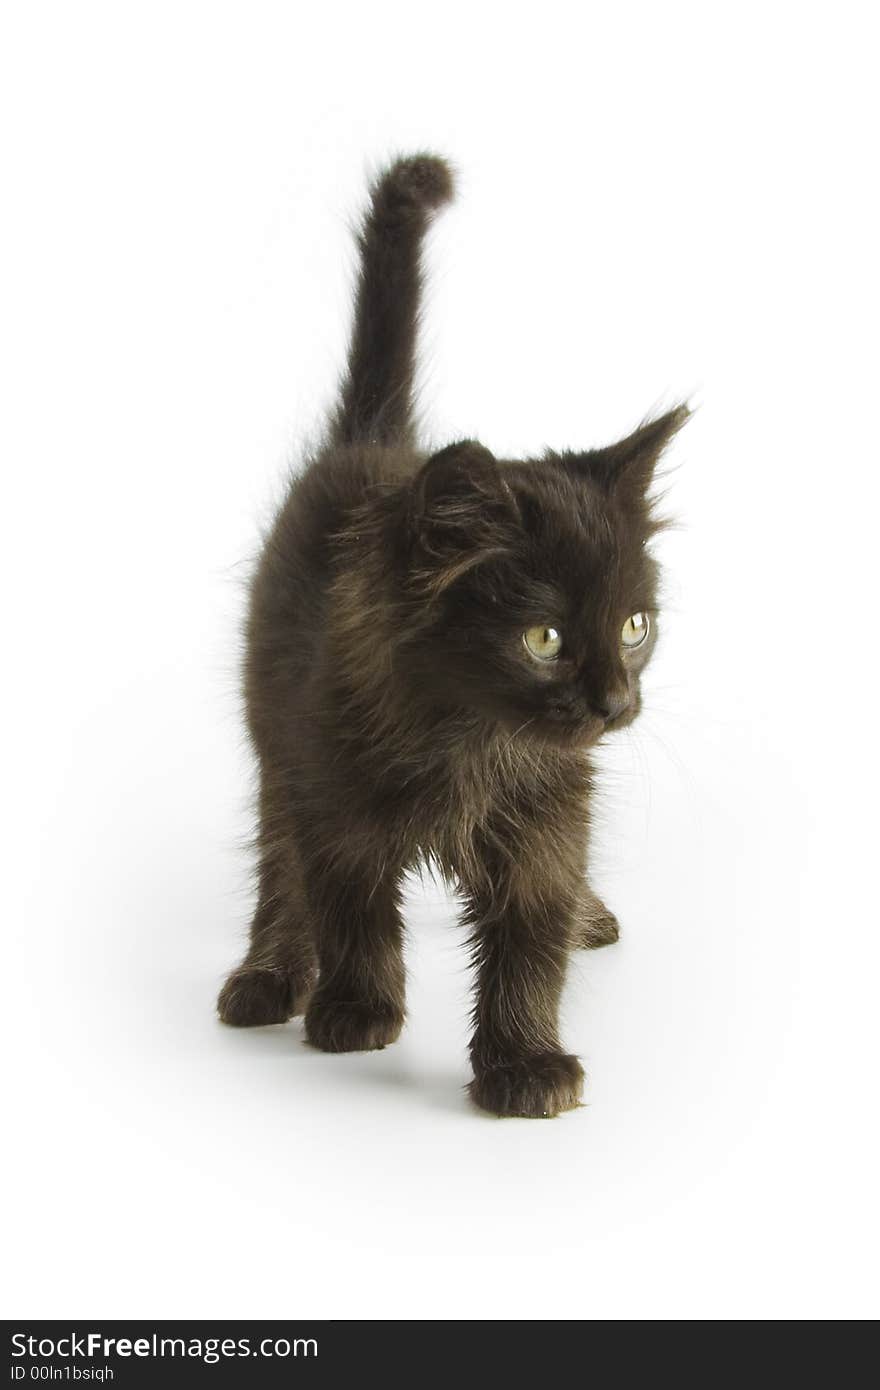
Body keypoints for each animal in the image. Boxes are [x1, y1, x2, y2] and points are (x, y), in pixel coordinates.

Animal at [218, 154, 686, 1117]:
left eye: (635, 626)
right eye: (543, 637)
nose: (615, 703)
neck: (471, 738)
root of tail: (369, 440)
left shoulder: (548, 815)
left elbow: (532, 939)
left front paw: (525, 1062)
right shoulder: (334, 789)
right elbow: (350, 901)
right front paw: (357, 1009)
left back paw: (590, 916)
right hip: (274, 741)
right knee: (280, 866)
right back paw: (269, 974)